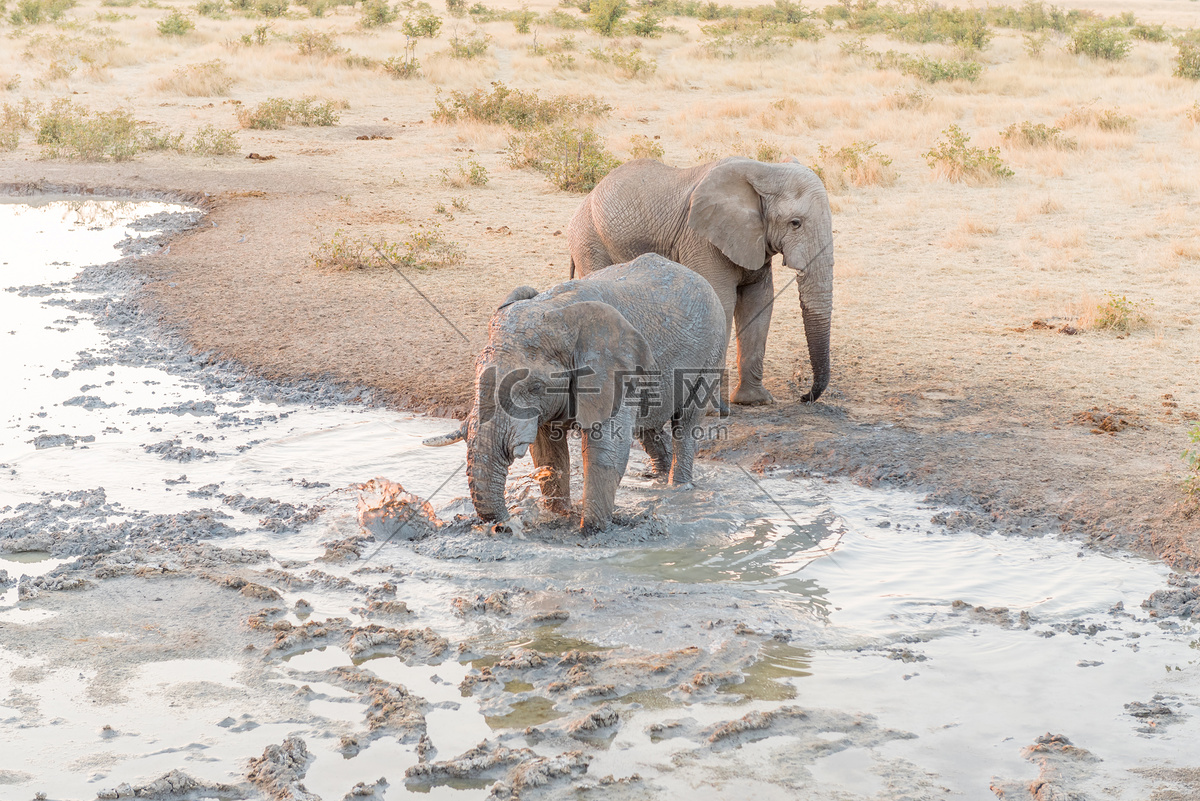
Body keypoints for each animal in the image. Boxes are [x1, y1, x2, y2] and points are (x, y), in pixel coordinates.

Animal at [422, 255, 720, 532]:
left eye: (534, 387)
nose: (506, 525)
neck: (556, 310)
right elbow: (548, 453)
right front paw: (560, 517)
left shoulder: (614, 371)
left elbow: (606, 452)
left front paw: (590, 532)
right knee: (647, 426)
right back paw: (657, 480)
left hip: (711, 352)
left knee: (686, 423)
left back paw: (678, 489)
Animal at [564, 155, 835, 407]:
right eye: (795, 223)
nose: (804, 397)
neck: (764, 169)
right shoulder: (702, 240)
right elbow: (722, 301)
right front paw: (712, 407)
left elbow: (758, 303)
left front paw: (754, 401)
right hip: (590, 240)